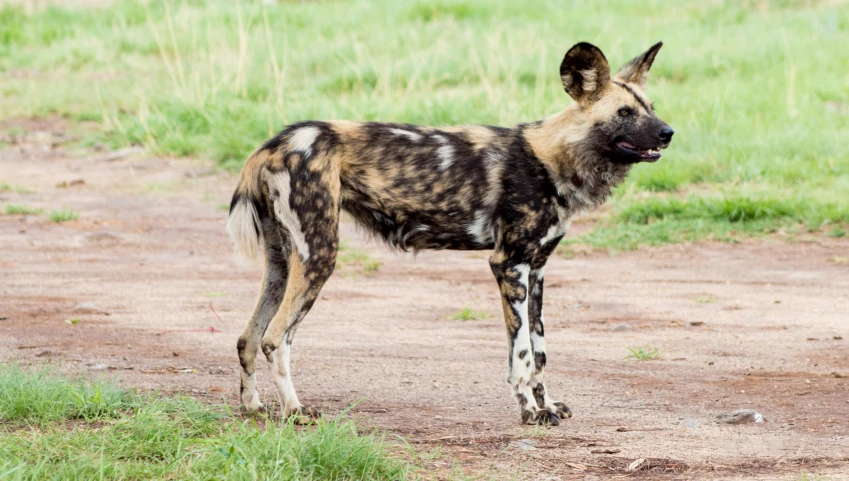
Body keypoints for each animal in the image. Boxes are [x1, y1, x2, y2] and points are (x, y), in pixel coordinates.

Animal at [227, 41, 676, 424]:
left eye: (651, 107)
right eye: (624, 113)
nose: (668, 132)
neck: (553, 159)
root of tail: (272, 144)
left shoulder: (537, 270)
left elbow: (541, 350)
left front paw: (547, 405)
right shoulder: (509, 265)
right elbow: (522, 353)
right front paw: (529, 411)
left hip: (283, 263)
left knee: (248, 337)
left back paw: (253, 406)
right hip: (320, 255)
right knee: (275, 338)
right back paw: (295, 411)